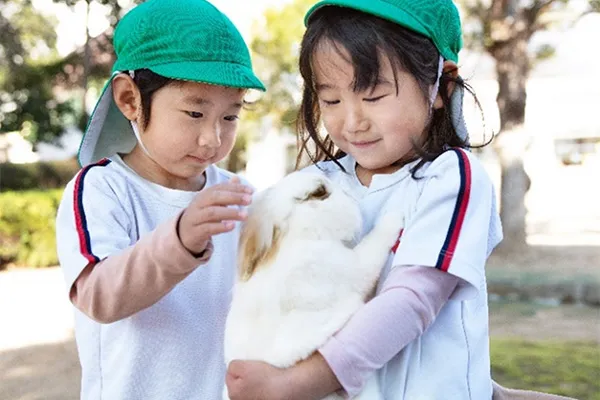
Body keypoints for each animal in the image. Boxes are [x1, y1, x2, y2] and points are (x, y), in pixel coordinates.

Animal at [224, 170, 404, 398]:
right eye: (320, 192)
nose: (350, 197)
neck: (298, 234)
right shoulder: (352, 269)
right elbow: (374, 246)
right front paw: (394, 217)